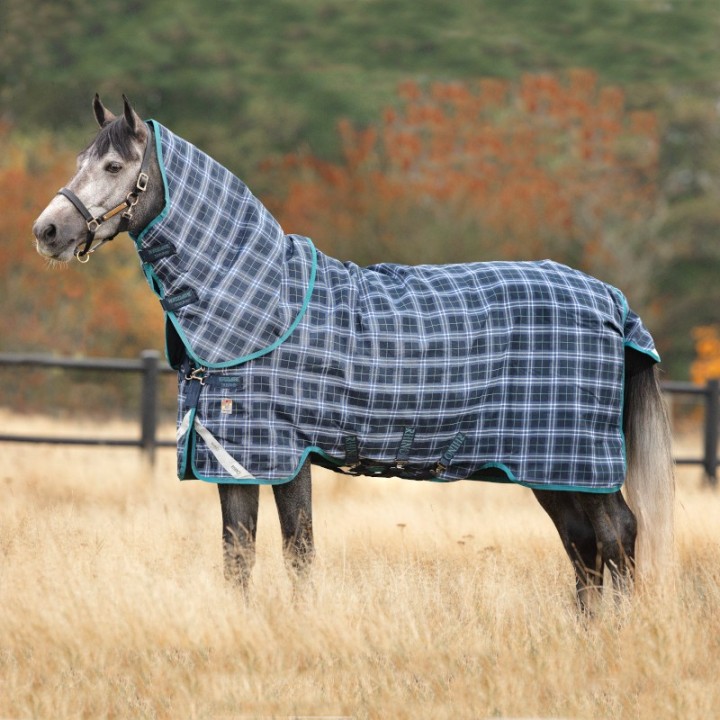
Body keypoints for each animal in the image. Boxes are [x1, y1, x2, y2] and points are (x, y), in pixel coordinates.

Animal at [33, 95, 674, 611]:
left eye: (115, 167)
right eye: (78, 163)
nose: (48, 232)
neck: (262, 301)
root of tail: (611, 301)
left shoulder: (279, 453)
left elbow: (295, 549)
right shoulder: (235, 458)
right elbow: (240, 555)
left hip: (576, 463)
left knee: (616, 535)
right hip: (555, 469)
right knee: (584, 547)